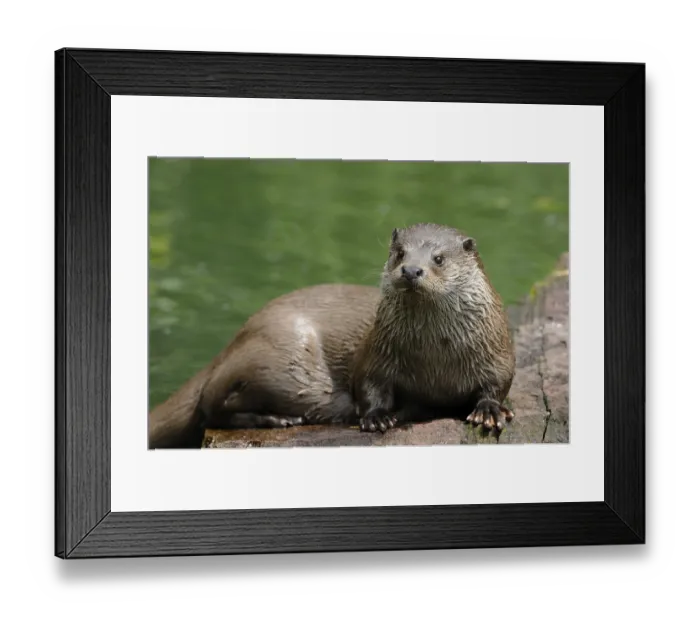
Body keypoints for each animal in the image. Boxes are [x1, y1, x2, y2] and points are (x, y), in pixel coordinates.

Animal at [148, 223, 515, 449]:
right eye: (400, 252)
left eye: (438, 258)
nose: (411, 270)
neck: (435, 357)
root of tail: (233, 340)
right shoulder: (376, 355)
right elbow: (368, 386)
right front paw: (377, 418)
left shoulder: (497, 353)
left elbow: (497, 384)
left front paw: (490, 411)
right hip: (278, 351)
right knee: (210, 406)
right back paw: (278, 419)